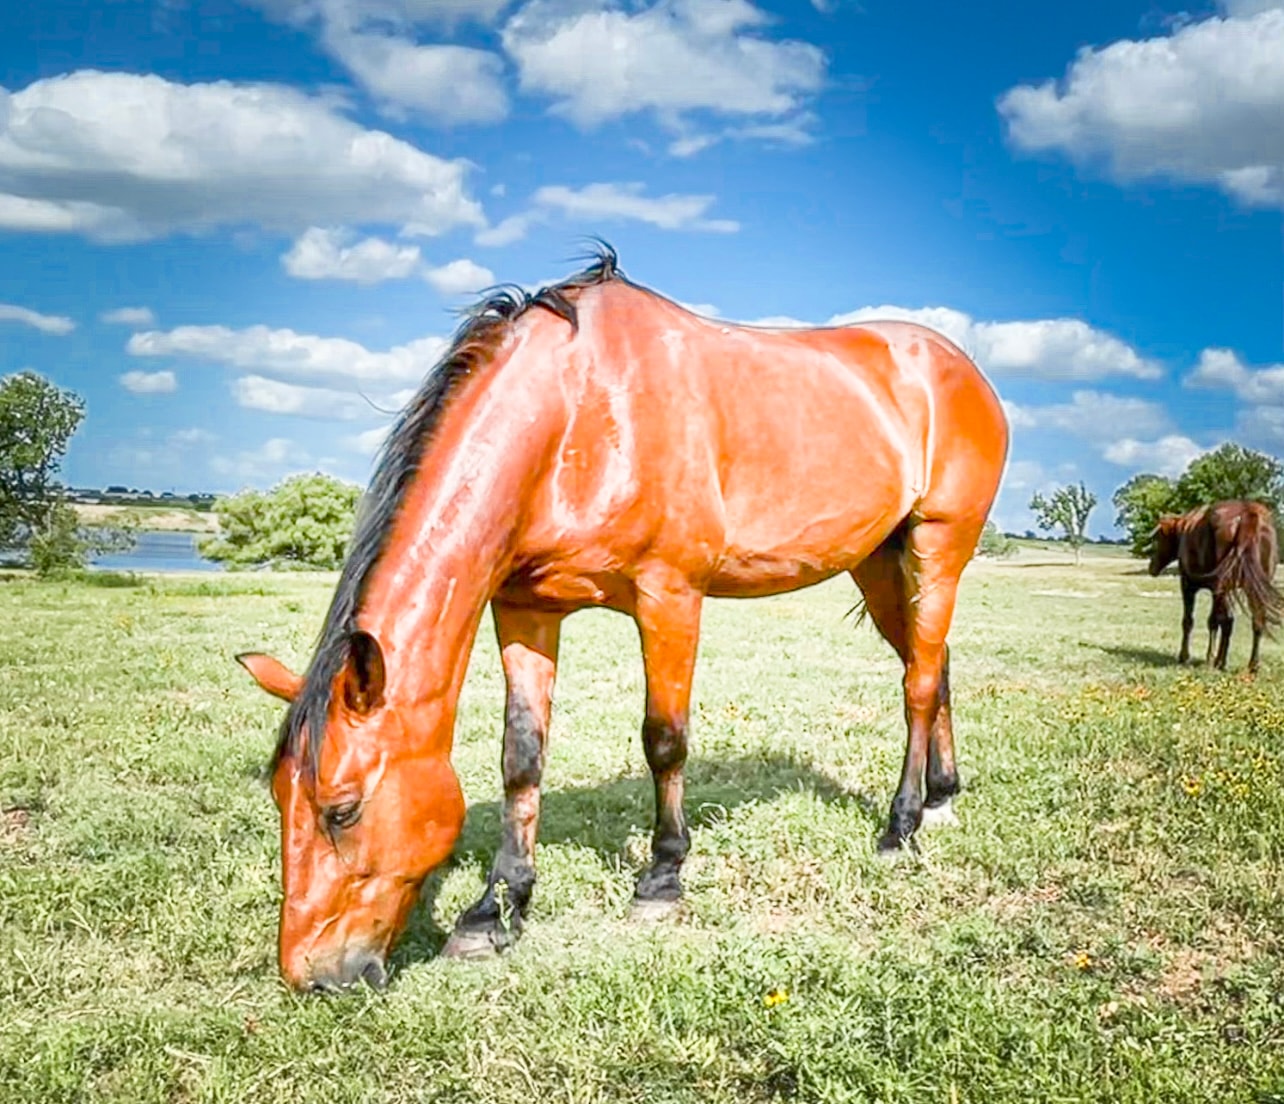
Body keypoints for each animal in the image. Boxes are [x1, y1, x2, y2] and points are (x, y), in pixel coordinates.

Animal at [236, 245, 1009, 992]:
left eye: (341, 810)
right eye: (279, 798)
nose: (312, 976)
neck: (577, 416)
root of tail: (960, 368)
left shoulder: (669, 596)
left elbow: (664, 740)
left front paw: (661, 878)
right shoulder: (525, 610)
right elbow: (522, 756)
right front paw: (495, 909)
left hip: (938, 547)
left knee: (917, 683)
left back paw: (901, 827)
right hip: (879, 562)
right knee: (932, 663)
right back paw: (941, 797)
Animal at [1148, 500, 1282, 673]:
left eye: (1158, 537)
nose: (1152, 567)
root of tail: (1248, 512)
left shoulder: (1188, 586)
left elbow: (1190, 621)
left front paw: (1185, 656)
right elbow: (1226, 622)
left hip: (1221, 588)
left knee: (1218, 621)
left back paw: (1213, 659)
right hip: (1250, 588)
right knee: (1256, 622)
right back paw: (1251, 664)